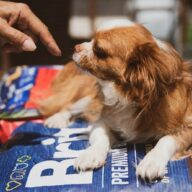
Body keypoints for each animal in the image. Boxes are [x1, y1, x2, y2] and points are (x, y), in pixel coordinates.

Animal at [39, 19, 192, 182]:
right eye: (91, 39)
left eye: (99, 50)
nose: (77, 46)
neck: (128, 97)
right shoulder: (101, 121)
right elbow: (101, 137)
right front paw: (91, 154)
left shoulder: (187, 129)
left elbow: (166, 140)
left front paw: (151, 161)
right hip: (88, 99)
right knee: (69, 106)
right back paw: (57, 119)